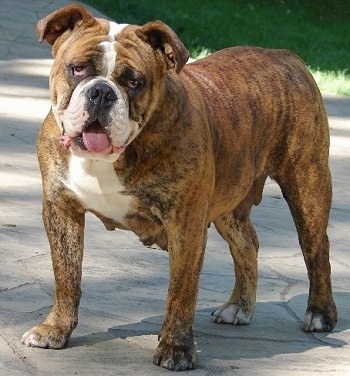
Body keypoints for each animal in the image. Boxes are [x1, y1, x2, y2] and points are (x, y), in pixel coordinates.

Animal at [21, 3, 336, 370]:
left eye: (134, 81)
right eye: (77, 69)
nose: (101, 92)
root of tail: (287, 56)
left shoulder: (186, 225)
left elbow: (181, 292)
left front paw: (176, 347)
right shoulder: (62, 211)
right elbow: (67, 276)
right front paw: (55, 330)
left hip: (307, 186)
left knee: (316, 249)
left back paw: (320, 314)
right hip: (228, 206)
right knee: (247, 244)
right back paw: (239, 306)